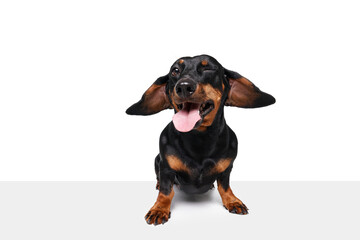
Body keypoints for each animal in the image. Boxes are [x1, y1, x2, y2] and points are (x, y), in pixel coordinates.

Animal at [125, 54, 274, 225]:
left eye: (208, 67)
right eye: (175, 70)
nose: (183, 87)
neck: (200, 140)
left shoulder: (227, 169)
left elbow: (224, 187)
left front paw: (232, 201)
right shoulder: (166, 168)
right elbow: (166, 191)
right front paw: (159, 209)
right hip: (157, 159)